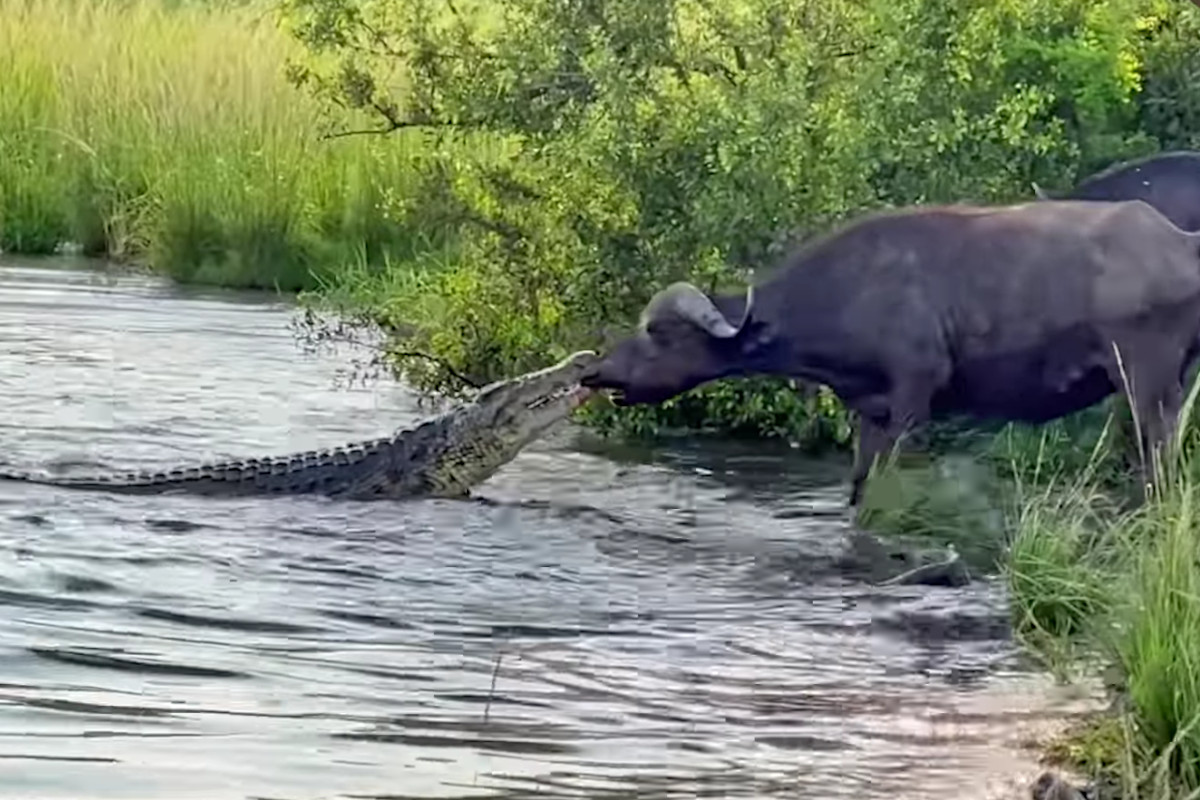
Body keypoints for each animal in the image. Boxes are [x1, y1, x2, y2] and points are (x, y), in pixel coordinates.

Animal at [580, 197, 1200, 503]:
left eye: (660, 333)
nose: (597, 372)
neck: (847, 290)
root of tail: (1179, 243)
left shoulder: (910, 401)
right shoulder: (869, 412)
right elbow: (858, 488)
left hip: (1145, 381)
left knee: (1157, 463)